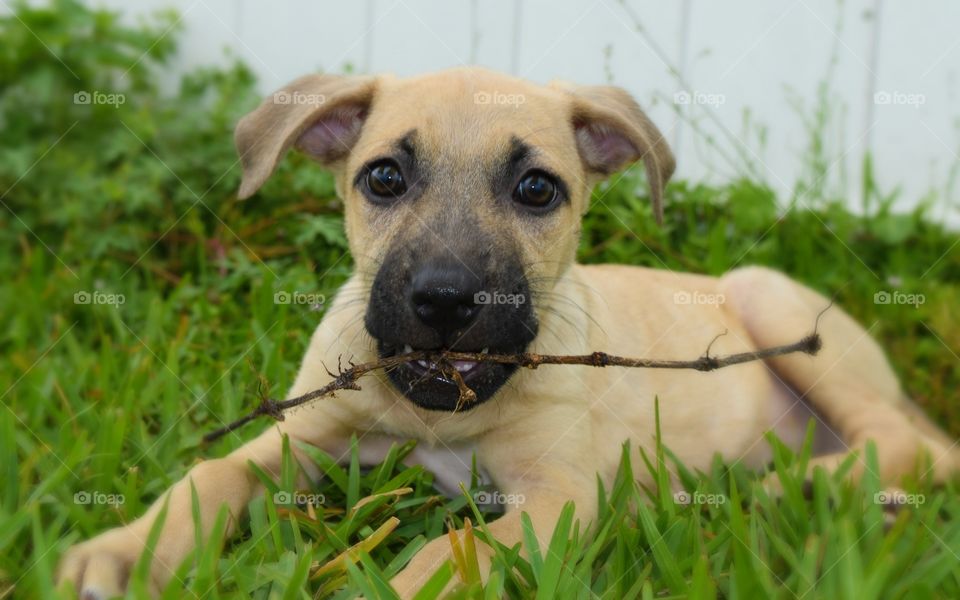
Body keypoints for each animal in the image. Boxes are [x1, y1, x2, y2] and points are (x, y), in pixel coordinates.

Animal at [60, 68, 960, 596]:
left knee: (907, 447)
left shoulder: (560, 496)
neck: (438, 413)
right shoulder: (302, 435)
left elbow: (454, 551)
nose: (444, 299)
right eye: (383, 177)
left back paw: (787, 491)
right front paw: (127, 553)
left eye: (536, 189)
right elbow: (211, 473)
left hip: (774, 305)